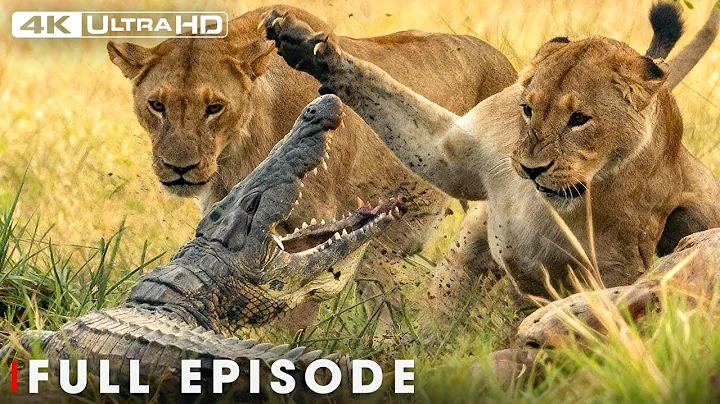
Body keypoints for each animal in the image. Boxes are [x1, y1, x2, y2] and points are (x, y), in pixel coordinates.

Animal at [107, 4, 517, 328]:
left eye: (215, 107)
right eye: (157, 105)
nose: (179, 168)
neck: (236, 150)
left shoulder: (318, 217)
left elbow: (296, 308)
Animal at [262, 2, 720, 311]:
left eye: (579, 119)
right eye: (528, 108)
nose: (531, 170)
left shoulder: (616, 267)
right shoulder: (455, 151)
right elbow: (380, 84)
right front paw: (306, 45)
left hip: (699, 214)